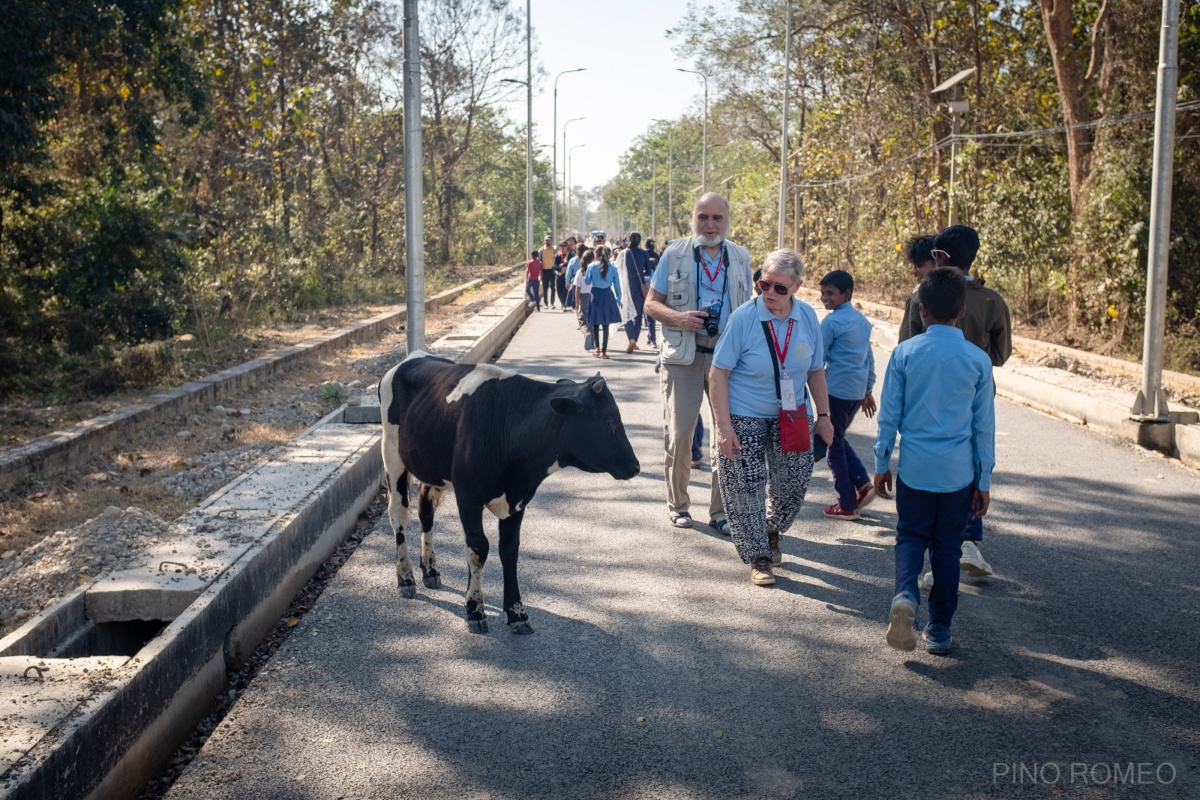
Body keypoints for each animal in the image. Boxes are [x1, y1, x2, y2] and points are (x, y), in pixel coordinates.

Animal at [379, 352, 643, 633]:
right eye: (609, 422)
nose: (635, 466)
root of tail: (414, 357)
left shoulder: (518, 499)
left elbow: (509, 550)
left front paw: (517, 613)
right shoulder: (468, 495)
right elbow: (478, 548)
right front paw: (475, 610)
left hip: (432, 468)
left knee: (425, 510)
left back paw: (430, 571)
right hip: (392, 455)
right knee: (398, 514)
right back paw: (405, 578)